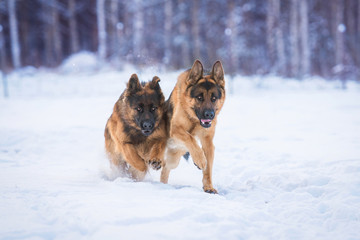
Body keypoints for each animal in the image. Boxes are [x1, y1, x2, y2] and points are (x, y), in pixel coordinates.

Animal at [161, 59, 225, 193]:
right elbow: (190, 138)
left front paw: (209, 187)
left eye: (214, 98)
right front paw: (200, 159)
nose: (209, 115)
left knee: (165, 167)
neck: (194, 119)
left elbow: (208, 168)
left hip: (173, 159)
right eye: (199, 97)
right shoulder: (175, 129)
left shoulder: (208, 143)